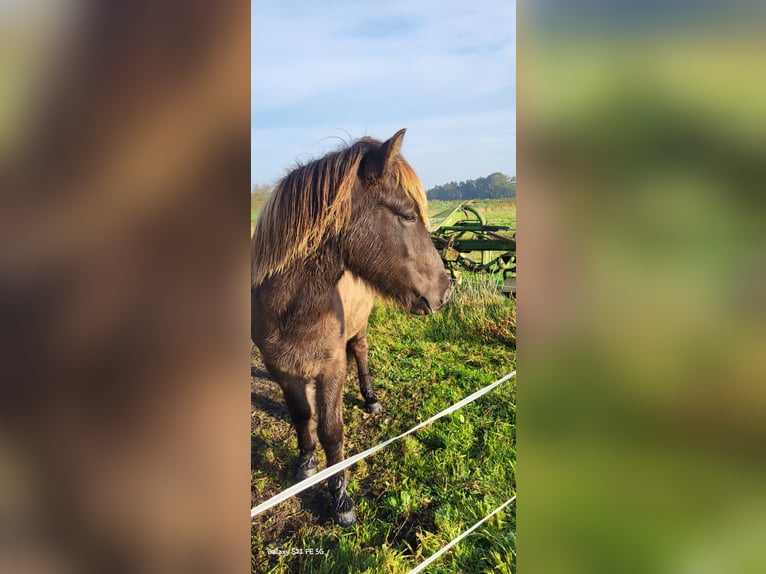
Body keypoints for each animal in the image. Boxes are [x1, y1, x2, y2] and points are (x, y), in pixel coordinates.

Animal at [252, 129, 456, 528]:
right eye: (408, 215)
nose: (444, 291)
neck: (290, 308)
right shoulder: (280, 368)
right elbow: (302, 416)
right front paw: (306, 464)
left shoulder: (332, 367)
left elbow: (332, 431)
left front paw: (341, 499)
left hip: (359, 328)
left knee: (359, 351)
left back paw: (371, 398)